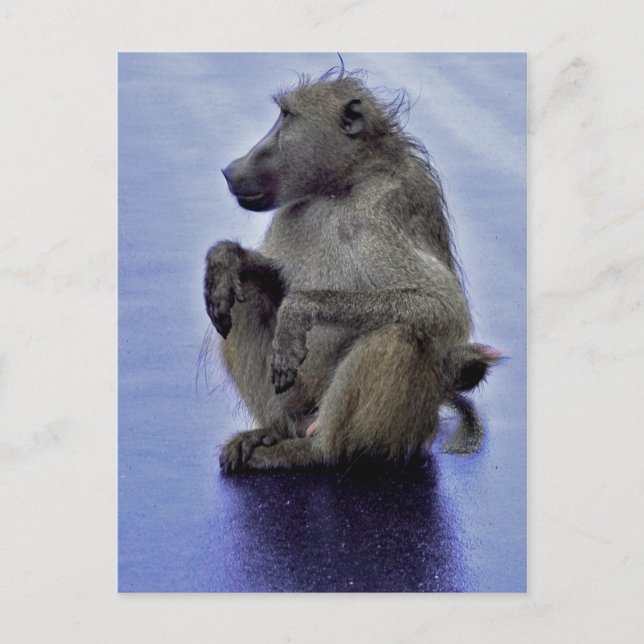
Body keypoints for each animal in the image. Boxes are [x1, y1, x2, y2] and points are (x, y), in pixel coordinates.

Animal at [204, 69, 500, 473]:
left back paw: (314, 451)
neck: (345, 184)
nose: (230, 169)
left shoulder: (381, 212)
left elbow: (442, 307)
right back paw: (271, 433)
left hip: (404, 426)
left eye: (286, 116)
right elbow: (267, 280)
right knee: (242, 296)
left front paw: (298, 312)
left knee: (399, 335)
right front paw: (225, 259)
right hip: (298, 400)